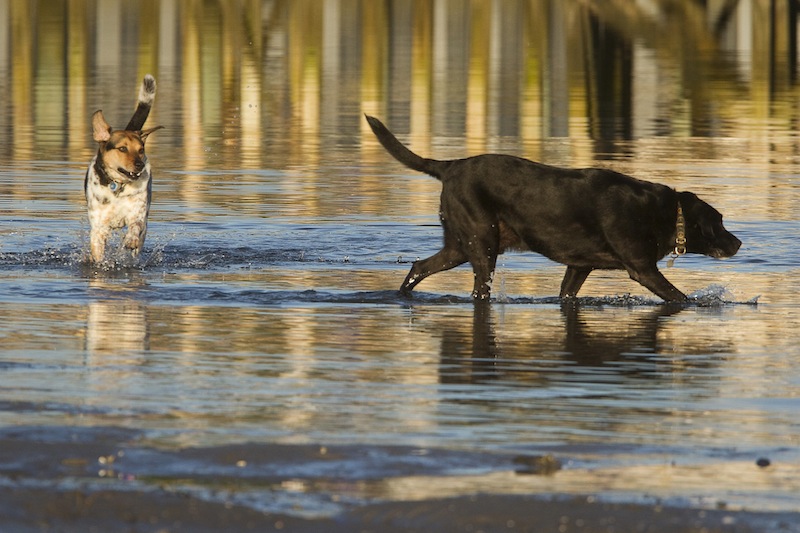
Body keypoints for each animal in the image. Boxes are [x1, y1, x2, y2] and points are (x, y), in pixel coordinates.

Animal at [85, 76, 163, 262]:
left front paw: (130, 240)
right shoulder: (99, 227)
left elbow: (135, 227)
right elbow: (97, 250)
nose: (140, 164)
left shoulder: (138, 213)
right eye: (122, 149)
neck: (118, 186)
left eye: (141, 150)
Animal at [366, 114, 740, 302]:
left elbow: (567, 293)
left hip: (461, 244)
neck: (665, 212)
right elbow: (678, 297)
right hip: (482, 244)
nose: (738, 243)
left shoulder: (579, 267)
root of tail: (449, 166)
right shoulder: (642, 268)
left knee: (419, 265)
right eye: (719, 222)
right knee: (477, 288)